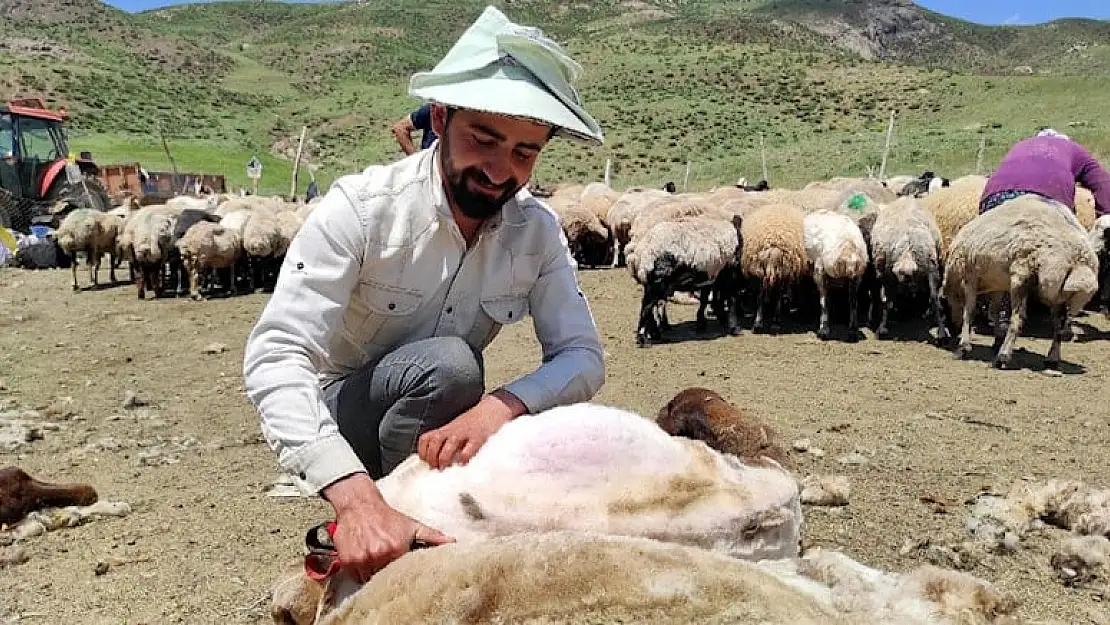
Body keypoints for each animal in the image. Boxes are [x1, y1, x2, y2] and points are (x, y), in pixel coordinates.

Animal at [808, 207, 865, 339]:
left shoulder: (819, 269)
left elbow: (825, 301)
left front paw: (823, 330)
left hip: (821, 269)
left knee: (824, 300)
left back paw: (824, 330)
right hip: (856, 277)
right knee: (853, 302)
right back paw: (852, 331)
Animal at [941, 195, 1096, 368]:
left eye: (946, 305)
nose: (953, 329)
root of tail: (1078, 258)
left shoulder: (971, 277)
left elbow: (969, 311)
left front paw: (964, 346)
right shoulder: (998, 284)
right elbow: (993, 311)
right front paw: (997, 340)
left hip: (1022, 276)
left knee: (1018, 319)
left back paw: (1003, 357)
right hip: (1056, 292)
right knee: (1059, 325)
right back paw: (1052, 358)